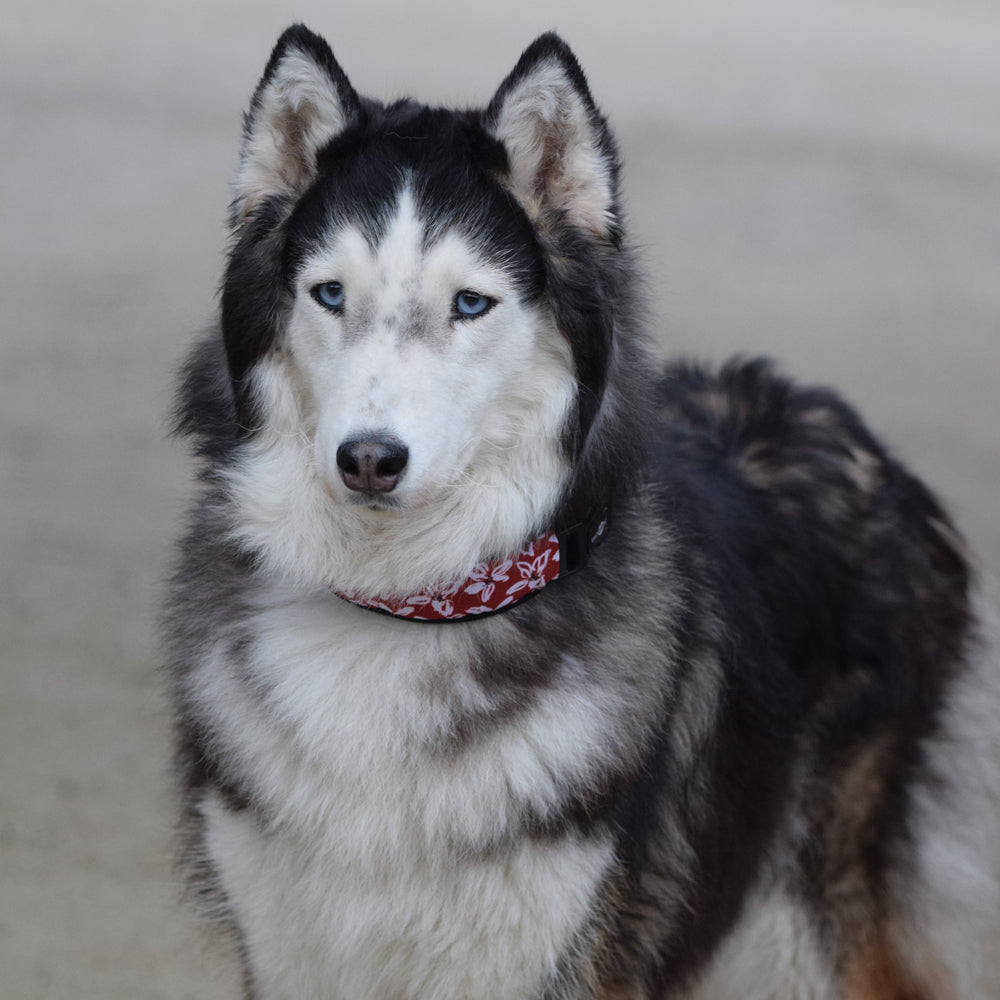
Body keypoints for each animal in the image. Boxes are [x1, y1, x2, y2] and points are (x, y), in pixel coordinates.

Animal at [164, 25, 1000, 1000]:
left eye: (471, 303)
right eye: (330, 294)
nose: (369, 458)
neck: (405, 608)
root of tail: (820, 406)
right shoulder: (289, 950)